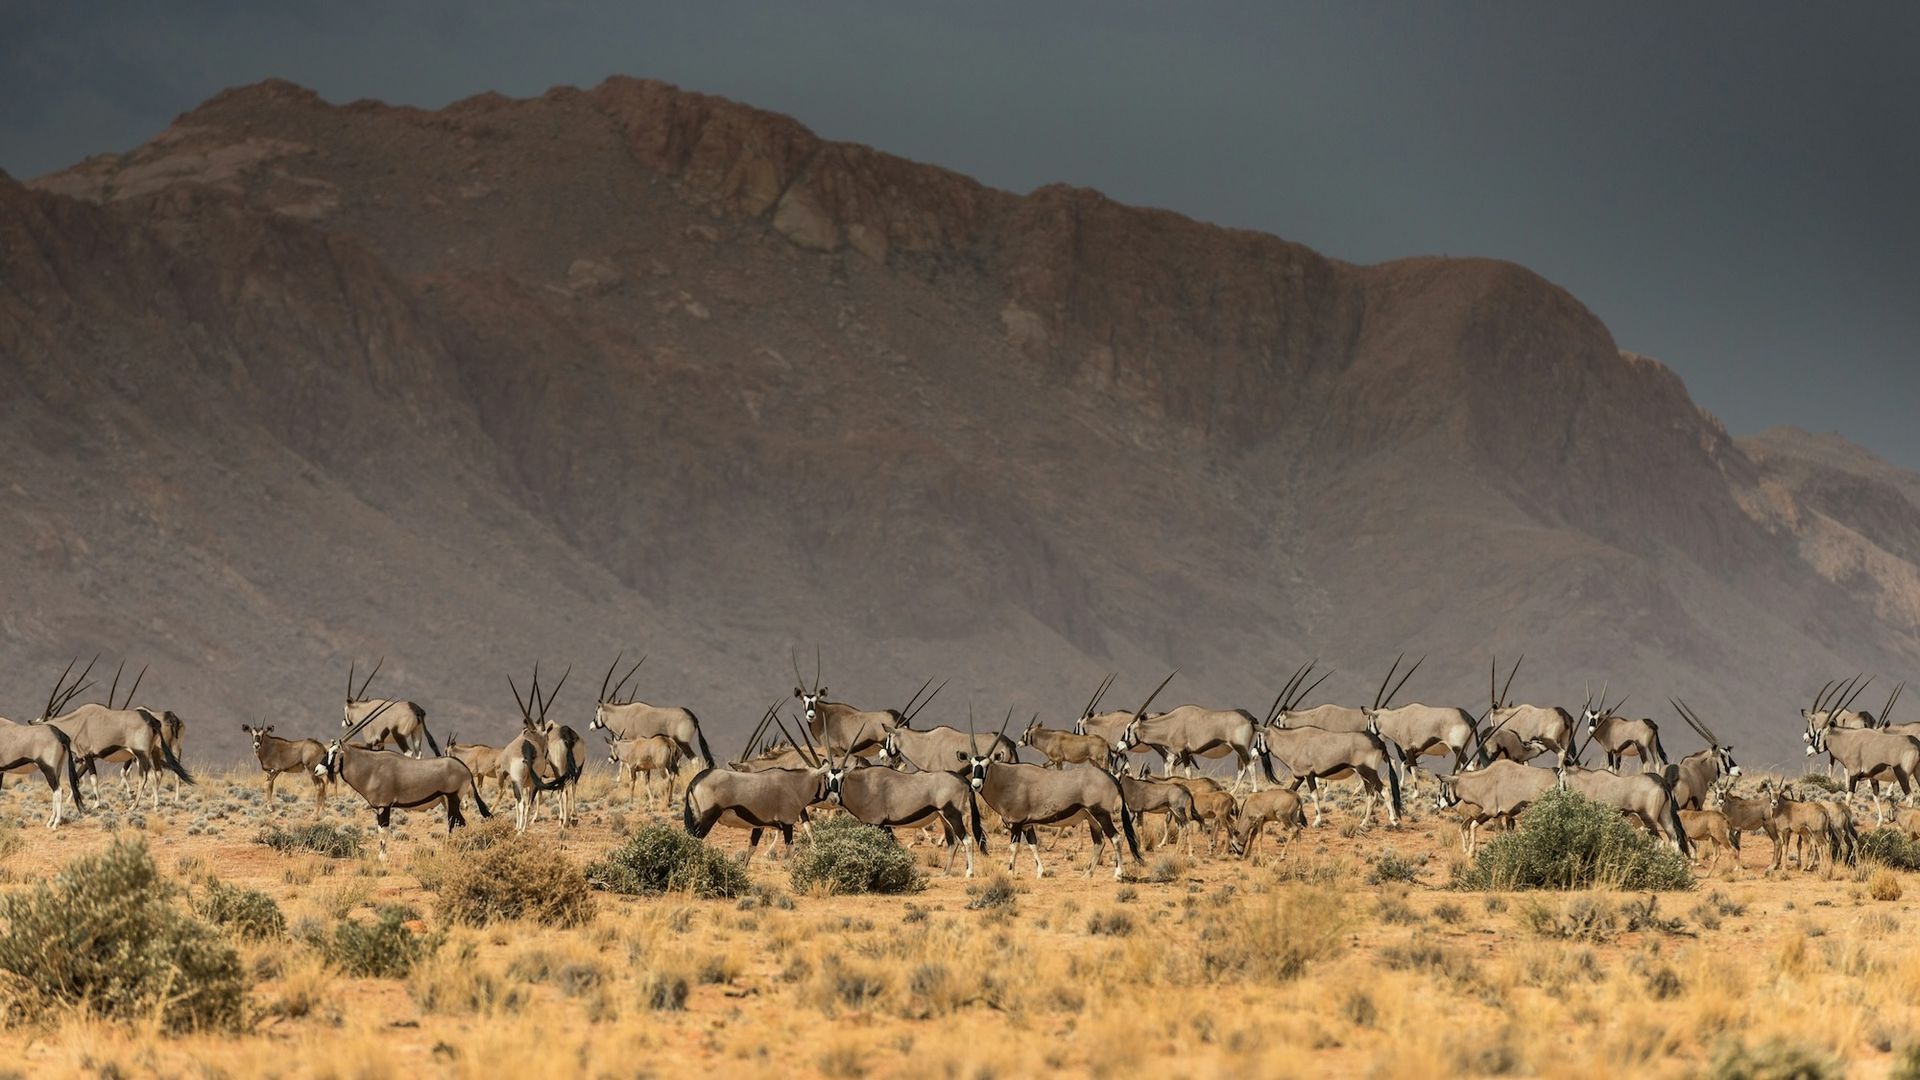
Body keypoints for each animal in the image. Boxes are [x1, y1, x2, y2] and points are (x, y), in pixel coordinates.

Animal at [34, 657, 194, 807]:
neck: (76, 723)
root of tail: (163, 718)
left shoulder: (88, 755)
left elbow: (93, 778)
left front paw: (96, 804)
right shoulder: (91, 757)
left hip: (143, 753)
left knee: (150, 775)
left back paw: (143, 803)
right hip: (164, 750)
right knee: (165, 773)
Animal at [316, 699, 491, 859]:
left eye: (334, 752)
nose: (317, 770)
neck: (370, 766)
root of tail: (464, 768)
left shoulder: (384, 805)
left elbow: (383, 831)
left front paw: (382, 858)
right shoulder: (380, 807)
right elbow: (381, 830)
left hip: (453, 798)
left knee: (456, 822)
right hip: (447, 801)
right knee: (457, 823)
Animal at [960, 708, 1141, 879]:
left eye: (987, 765)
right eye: (972, 764)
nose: (976, 785)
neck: (1008, 778)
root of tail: (1111, 777)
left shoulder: (1017, 823)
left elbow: (1014, 848)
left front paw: (1010, 872)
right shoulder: (1027, 824)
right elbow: (1033, 845)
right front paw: (1040, 872)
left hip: (1101, 814)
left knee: (1115, 838)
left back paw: (1118, 874)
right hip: (1092, 818)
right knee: (1099, 842)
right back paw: (1087, 874)